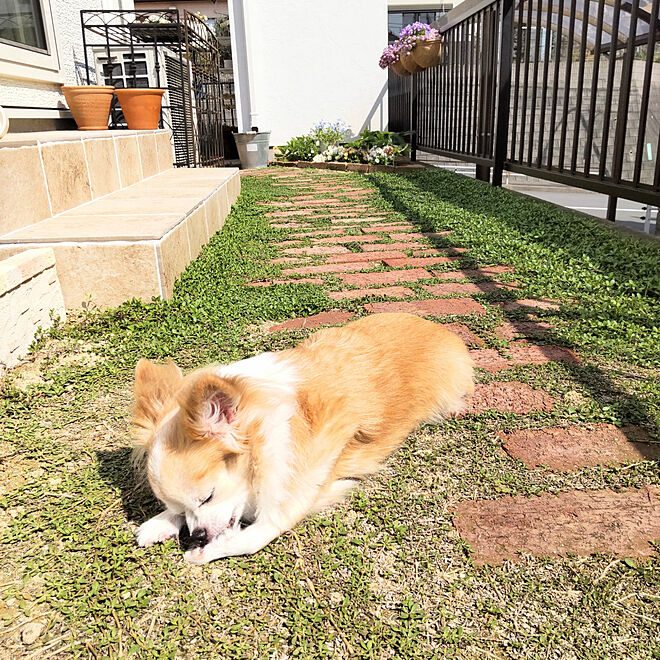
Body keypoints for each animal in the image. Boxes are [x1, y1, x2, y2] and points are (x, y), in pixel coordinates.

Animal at [133, 314, 474, 564]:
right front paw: (161, 523)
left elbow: (252, 538)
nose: (197, 536)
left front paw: (203, 552)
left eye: (208, 497)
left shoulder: (289, 500)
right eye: (179, 509)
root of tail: (435, 325)